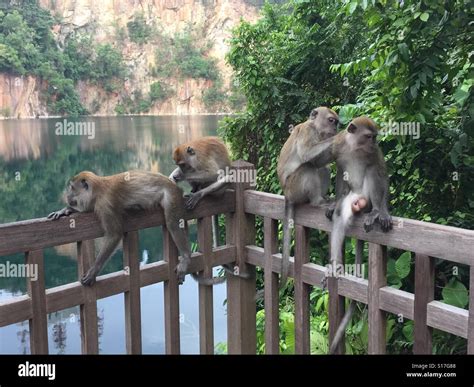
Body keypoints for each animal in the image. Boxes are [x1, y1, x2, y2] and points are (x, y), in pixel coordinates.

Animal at [48, 171, 224, 286]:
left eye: (72, 188)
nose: (68, 196)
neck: (98, 189)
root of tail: (174, 185)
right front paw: (66, 211)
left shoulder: (105, 204)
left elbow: (114, 234)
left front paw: (94, 271)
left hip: (171, 196)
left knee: (173, 224)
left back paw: (186, 257)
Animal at [276, 106, 338, 292]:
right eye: (331, 120)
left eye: (336, 122)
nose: (337, 128)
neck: (316, 129)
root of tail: (286, 195)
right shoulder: (307, 132)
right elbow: (306, 155)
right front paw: (339, 137)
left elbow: (319, 160)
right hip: (294, 189)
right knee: (308, 167)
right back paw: (318, 202)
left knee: (322, 168)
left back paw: (323, 198)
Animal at [302, 116, 394, 354]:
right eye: (369, 136)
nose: (374, 144)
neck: (356, 147)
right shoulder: (338, 147)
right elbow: (332, 166)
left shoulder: (373, 154)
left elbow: (380, 171)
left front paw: (384, 211)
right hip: (352, 197)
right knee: (341, 210)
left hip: (366, 198)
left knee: (372, 172)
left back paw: (374, 212)